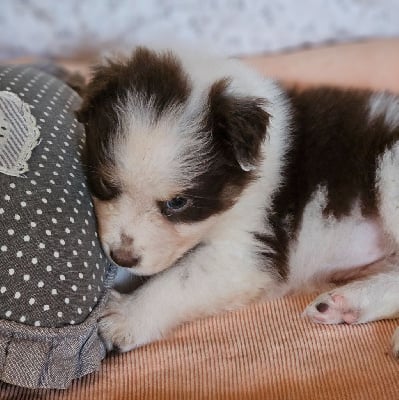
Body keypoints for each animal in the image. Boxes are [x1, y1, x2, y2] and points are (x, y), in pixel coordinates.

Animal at [76, 45, 399, 354]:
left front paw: (126, 316)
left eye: (178, 203)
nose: (122, 257)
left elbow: (177, 281)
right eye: (105, 184)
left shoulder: (247, 250)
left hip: (390, 173)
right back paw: (344, 303)